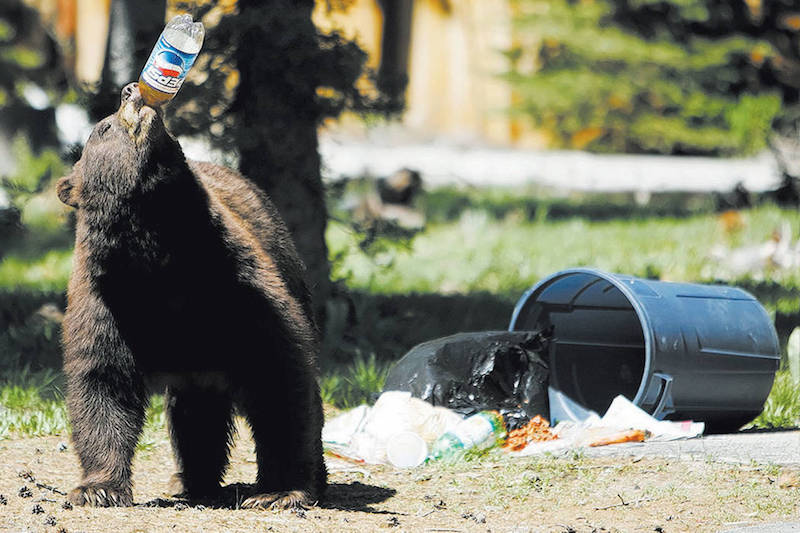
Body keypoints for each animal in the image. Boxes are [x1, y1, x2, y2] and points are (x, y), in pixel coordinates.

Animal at [56, 82, 326, 508]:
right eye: (102, 128)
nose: (130, 90)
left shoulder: (237, 285)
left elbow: (280, 375)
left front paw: (278, 491)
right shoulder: (106, 299)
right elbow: (102, 380)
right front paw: (97, 488)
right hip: (196, 365)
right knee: (194, 413)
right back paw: (190, 480)